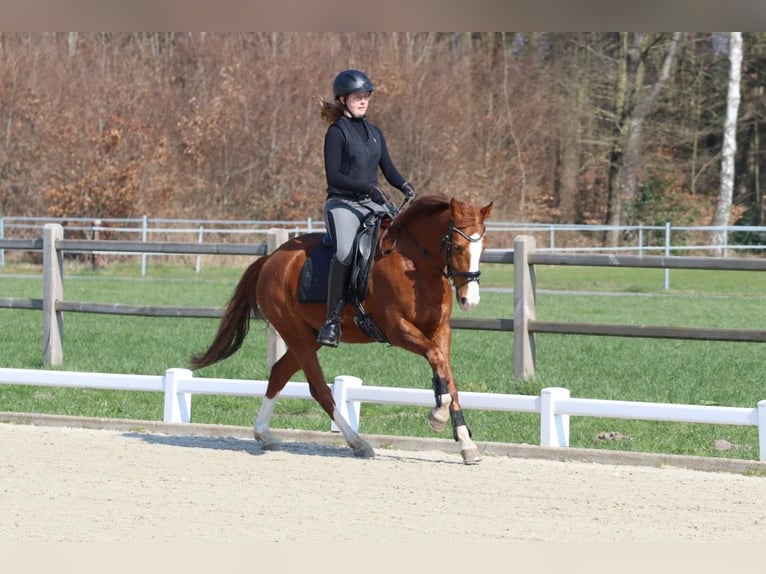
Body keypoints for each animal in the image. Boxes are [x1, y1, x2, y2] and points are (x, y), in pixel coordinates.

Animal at [190, 194, 494, 464]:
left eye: (484, 247)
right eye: (457, 247)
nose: (470, 300)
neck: (415, 263)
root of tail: (271, 259)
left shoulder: (440, 331)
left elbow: (447, 376)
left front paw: (465, 442)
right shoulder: (398, 330)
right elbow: (436, 360)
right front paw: (438, 415)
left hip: (308, 336)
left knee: (279, 373)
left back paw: (264, 434)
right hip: (297, 335)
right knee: (318, 389)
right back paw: (358, 442)